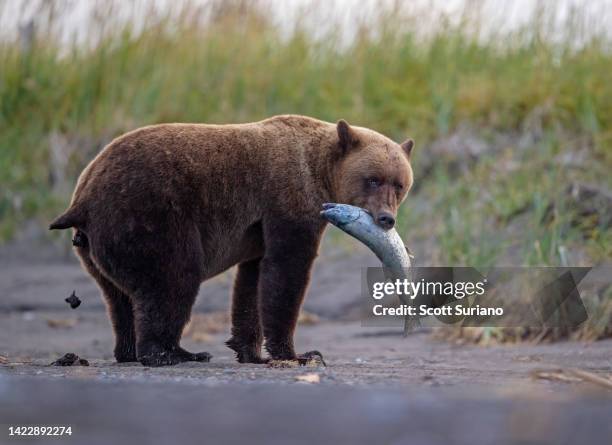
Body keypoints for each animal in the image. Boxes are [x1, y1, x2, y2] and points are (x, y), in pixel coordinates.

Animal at [50, 113, 414, 364]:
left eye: (399, 184)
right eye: (373, 179)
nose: (386, 218)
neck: (318, 174)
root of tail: (82, 197)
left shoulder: (257, 231)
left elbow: (252, 282)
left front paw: (251, 351)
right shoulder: (287, 204)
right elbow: (287, 273)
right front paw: (298, 353)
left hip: (95, 244)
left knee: (118, 298)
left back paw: (128, 350)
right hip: (147, 215)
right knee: (173, 278)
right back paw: (176, 353)